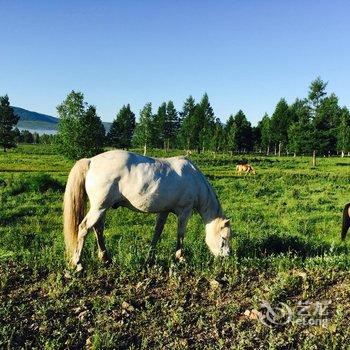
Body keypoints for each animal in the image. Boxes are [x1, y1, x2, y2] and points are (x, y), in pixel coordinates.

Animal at [64, 150, 231, 270]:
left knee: (98, 229)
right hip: (99, 208)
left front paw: (150, 257)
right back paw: (78, 263)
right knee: (84, 228)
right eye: (223, 239)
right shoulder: (185, 211)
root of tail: (91, 161)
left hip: (102, 208)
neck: (194, 179)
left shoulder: (164, 211)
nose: (226, 257)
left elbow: (157, 232)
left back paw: (106, 259)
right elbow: (181, 234)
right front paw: (180, 257)